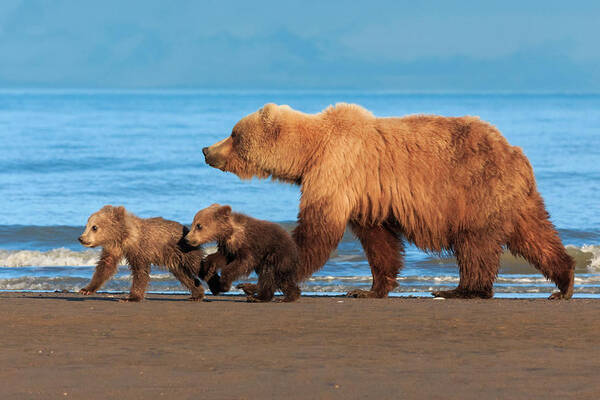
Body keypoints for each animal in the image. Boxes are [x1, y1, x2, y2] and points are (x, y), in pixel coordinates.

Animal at [203, 104, 576, 300]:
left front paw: (256, 283)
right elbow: (379, 241)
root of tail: (517, 155)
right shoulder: (367, 197)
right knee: (536, 235)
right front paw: (369, 289)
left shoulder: (337, 171)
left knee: (475, 244)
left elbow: (316, 230)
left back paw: (461, 289)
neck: (310, 152)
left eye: (234, 134)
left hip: (473, 191)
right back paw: (565, 280)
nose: (207, 150)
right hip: (515, 198)